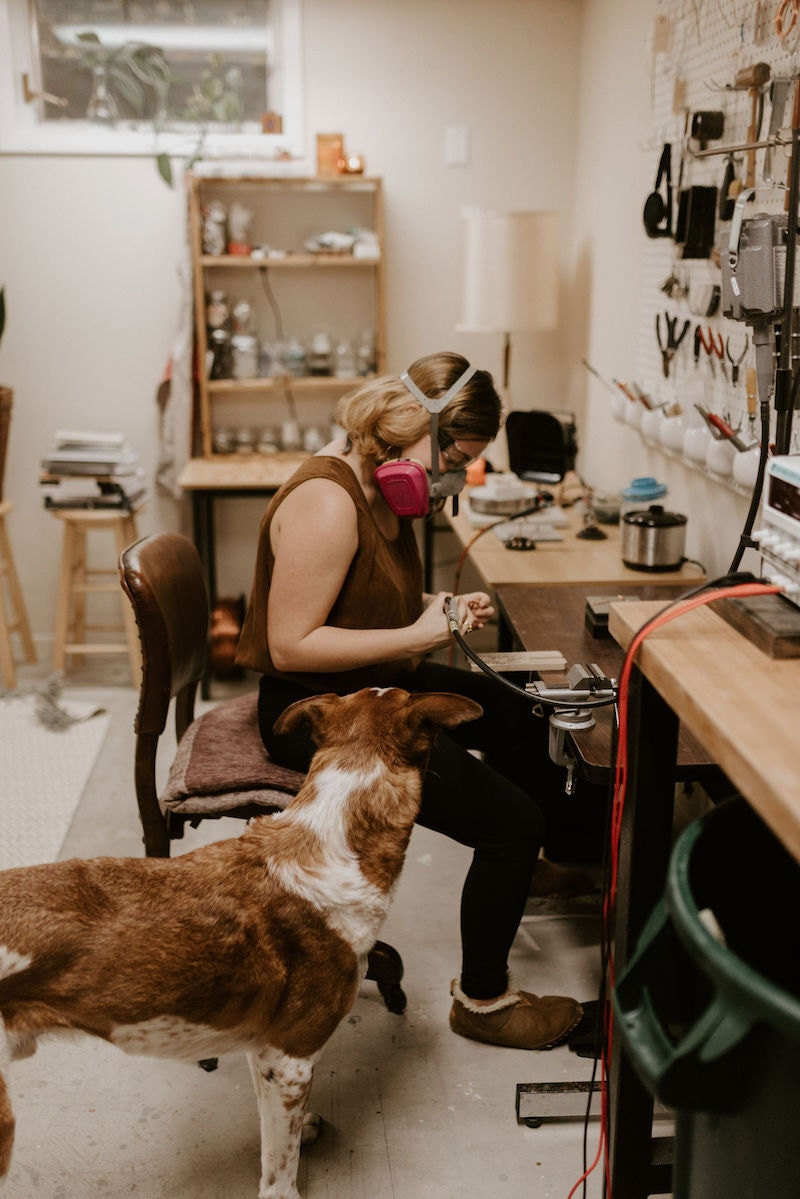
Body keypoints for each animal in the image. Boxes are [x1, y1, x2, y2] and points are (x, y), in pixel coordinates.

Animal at [0, 685, 482, 1199]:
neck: (331, 835)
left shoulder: (265, 1051)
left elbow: (275, 1127)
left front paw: (303, 1127)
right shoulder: (292, 1058)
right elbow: (279, 1171)